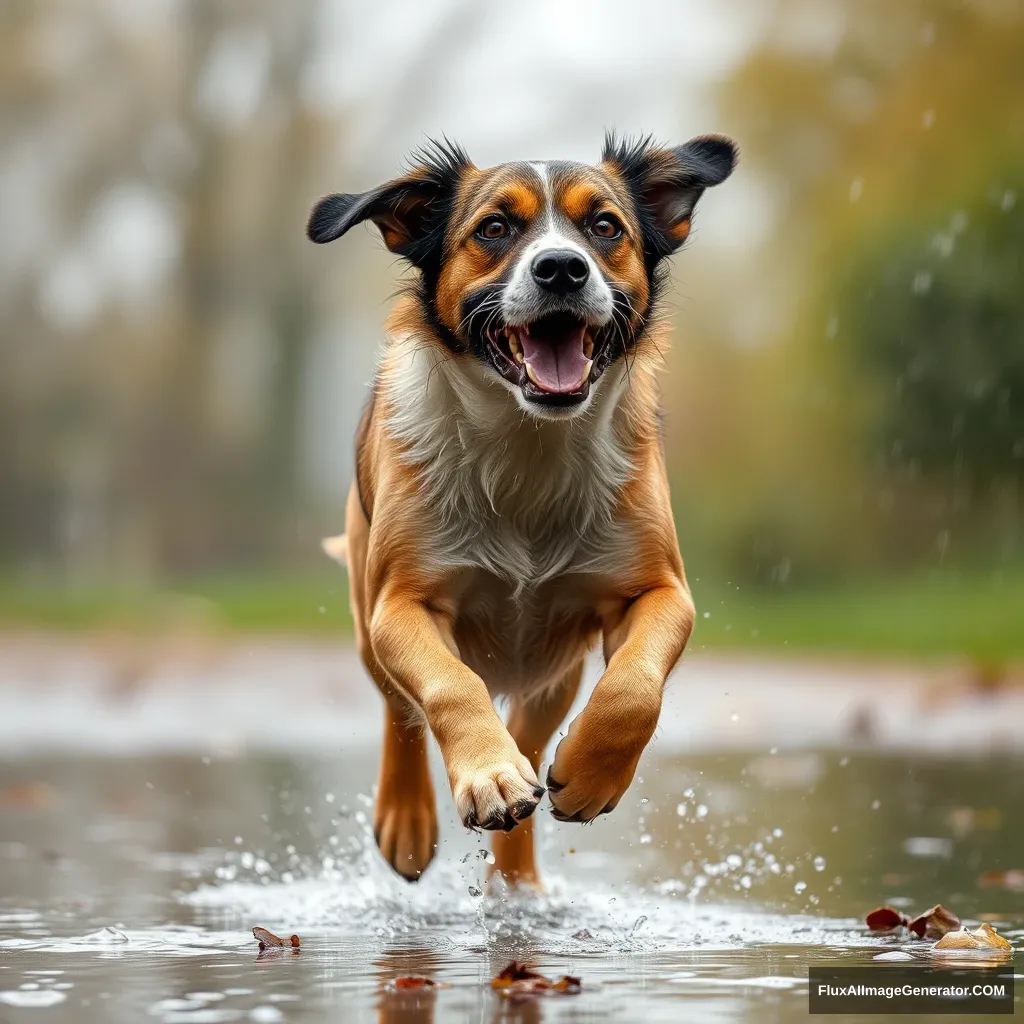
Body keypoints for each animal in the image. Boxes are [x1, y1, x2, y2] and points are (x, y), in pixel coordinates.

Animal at [303, 132, 737, 884]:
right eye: (494, 228)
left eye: (605, 227)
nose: (561, 268)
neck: (529, 443)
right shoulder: (400, 605)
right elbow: (448, 687)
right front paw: (488, 776)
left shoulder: (660, 591)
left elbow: (634, 687)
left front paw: (590, 776)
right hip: (366, 614)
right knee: (398, 707)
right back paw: (409, 818)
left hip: (551, 678)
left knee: (533, 738)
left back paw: (520, 880)